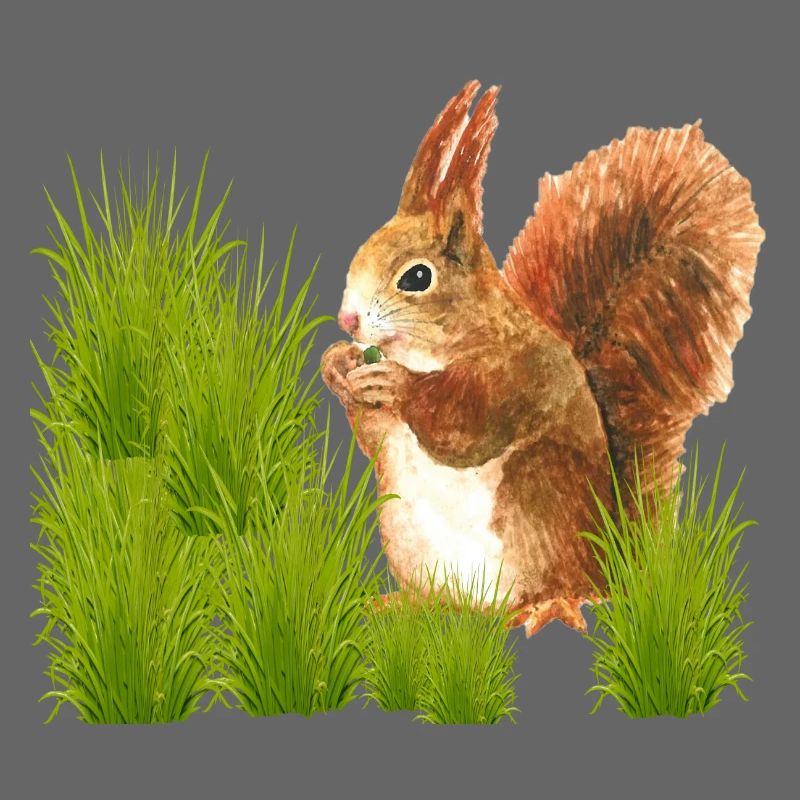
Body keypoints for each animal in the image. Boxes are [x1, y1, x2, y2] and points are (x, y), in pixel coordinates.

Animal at [321, 79, 764, 636]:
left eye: (417, 277)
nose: (348, 320)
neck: (436, 347)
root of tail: (609, 564)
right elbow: (374, 436)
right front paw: (338, 366)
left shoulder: (518, 374)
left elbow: (464, 425)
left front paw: (396, 383)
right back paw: (405, 604)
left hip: (537, 497)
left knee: (558, 588)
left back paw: (545, 606)